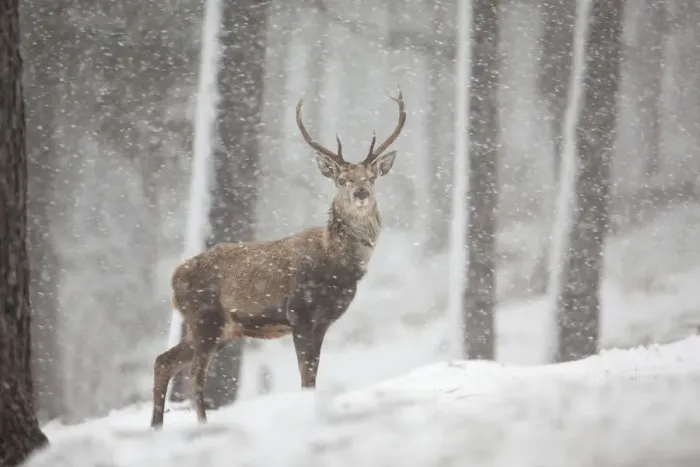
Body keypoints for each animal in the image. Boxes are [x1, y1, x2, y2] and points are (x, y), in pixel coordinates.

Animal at [150, 90, 406, 428]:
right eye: (341, 180)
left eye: (371, 177)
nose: (361, 192)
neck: (336, 267)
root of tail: (174, 275)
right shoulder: (299, 313)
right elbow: (305, 378)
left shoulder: (323, 322)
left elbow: (313, 377)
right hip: (204, 318)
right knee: (194, 375)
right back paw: (201, 425)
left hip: (215, 327)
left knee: (163, 361)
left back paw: (156, 427)